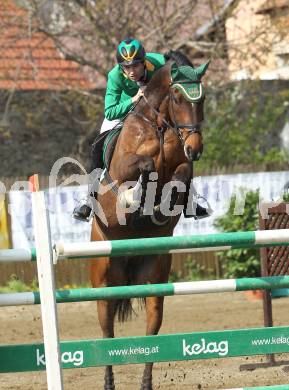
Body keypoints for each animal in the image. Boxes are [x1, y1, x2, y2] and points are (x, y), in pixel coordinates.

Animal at [90, 52, 209, 390]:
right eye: (178, 97)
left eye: (202, 98)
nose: (195, 149)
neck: (159, 126)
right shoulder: (124, 167)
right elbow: (143, 165)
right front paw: (136, 196)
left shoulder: (182, 165)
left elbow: (179, 175)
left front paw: (162, 203)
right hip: (103, 281)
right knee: (106, 331)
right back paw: (108, 382)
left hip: (155, 276)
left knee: (152, 329)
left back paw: (145, 382)